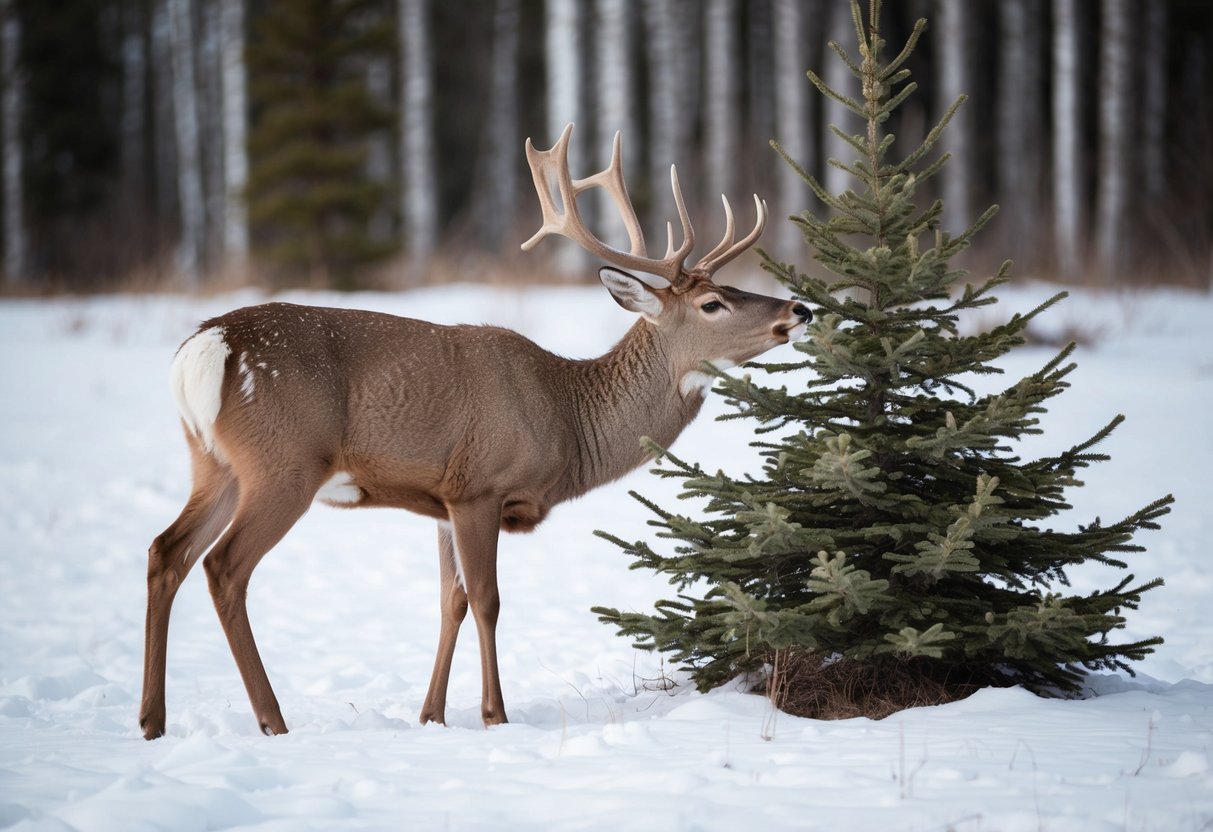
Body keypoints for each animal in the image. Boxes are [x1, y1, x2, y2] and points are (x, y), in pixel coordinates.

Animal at [137, 123, 810, 742]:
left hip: (214, 462)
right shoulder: (478, 486)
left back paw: (152, 720)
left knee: (166, 551)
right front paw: (495, 715)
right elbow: (487, 599)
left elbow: (449, 602)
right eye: (712, 304)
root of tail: (202, 348)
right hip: (284, 463)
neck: (566, 418)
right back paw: (271, 720)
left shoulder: (439, 500)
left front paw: (430, 715)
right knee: (224, 566)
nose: (798, 309)